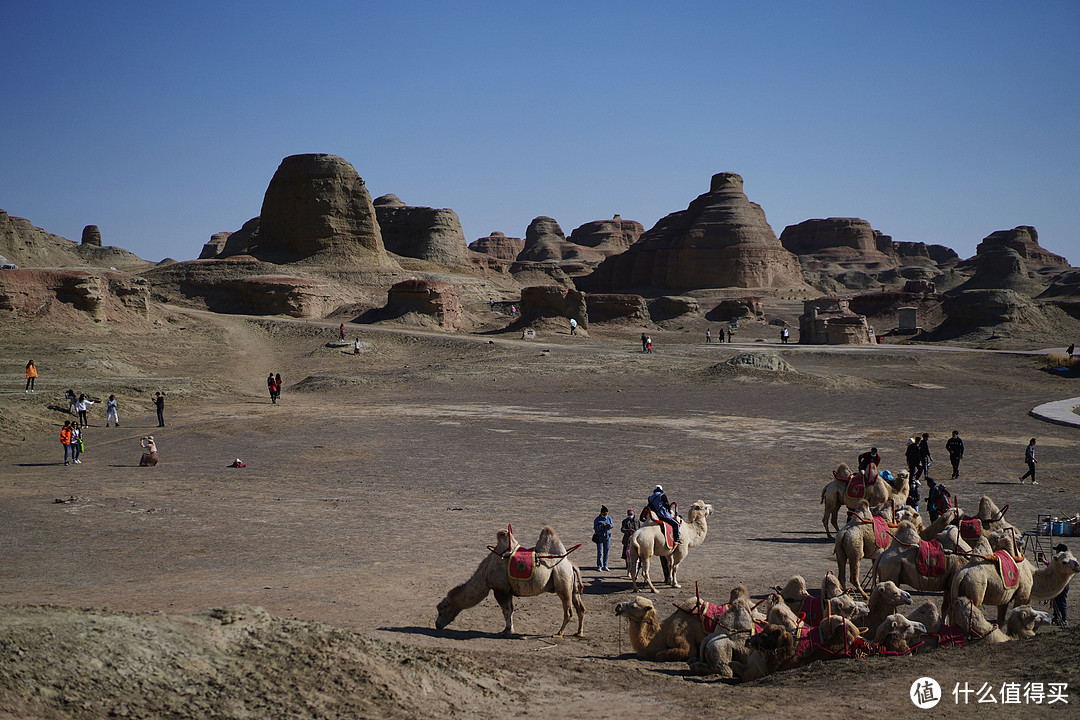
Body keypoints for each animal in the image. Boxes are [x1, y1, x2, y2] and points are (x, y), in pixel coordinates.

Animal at [434, 526, 583, 639]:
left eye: (441, 610)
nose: (437, 625)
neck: (485, 573)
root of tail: (570, 565)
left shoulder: (500, 590)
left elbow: (506, 610)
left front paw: (505, 631)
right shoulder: (508, 590)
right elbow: (510, 610)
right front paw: (508, 630)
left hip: (563, 583)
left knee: (568, 611)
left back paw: (558, 633)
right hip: (572, 587)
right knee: (580, 608)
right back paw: (578, 633)